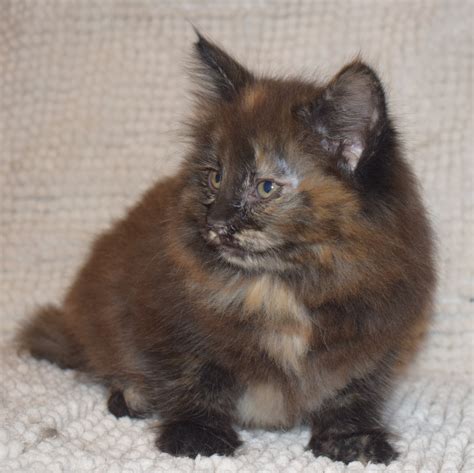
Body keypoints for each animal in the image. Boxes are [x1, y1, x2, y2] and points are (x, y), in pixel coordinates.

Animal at [18, 34, 436, 464]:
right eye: (216, 177)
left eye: (265, 187)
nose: (216, 223)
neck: (279, 288)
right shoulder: (172, 326)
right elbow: (195, 380)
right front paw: (196, 436)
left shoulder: (372, 344)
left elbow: (349, 393)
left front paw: (351, 440)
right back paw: (133, 394)